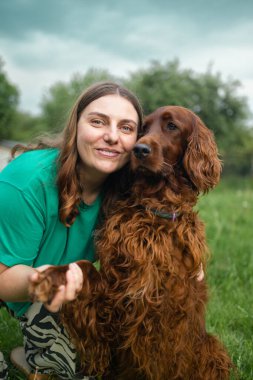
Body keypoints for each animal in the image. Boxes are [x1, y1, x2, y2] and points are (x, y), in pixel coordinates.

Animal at [30, 105, 233, 378]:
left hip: (211, 347)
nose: (140, 149)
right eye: (143, 129)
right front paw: (51, 277)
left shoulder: (166, 307)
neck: (154, 210)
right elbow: (82, 267)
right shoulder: (113, 296)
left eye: (172, 126)